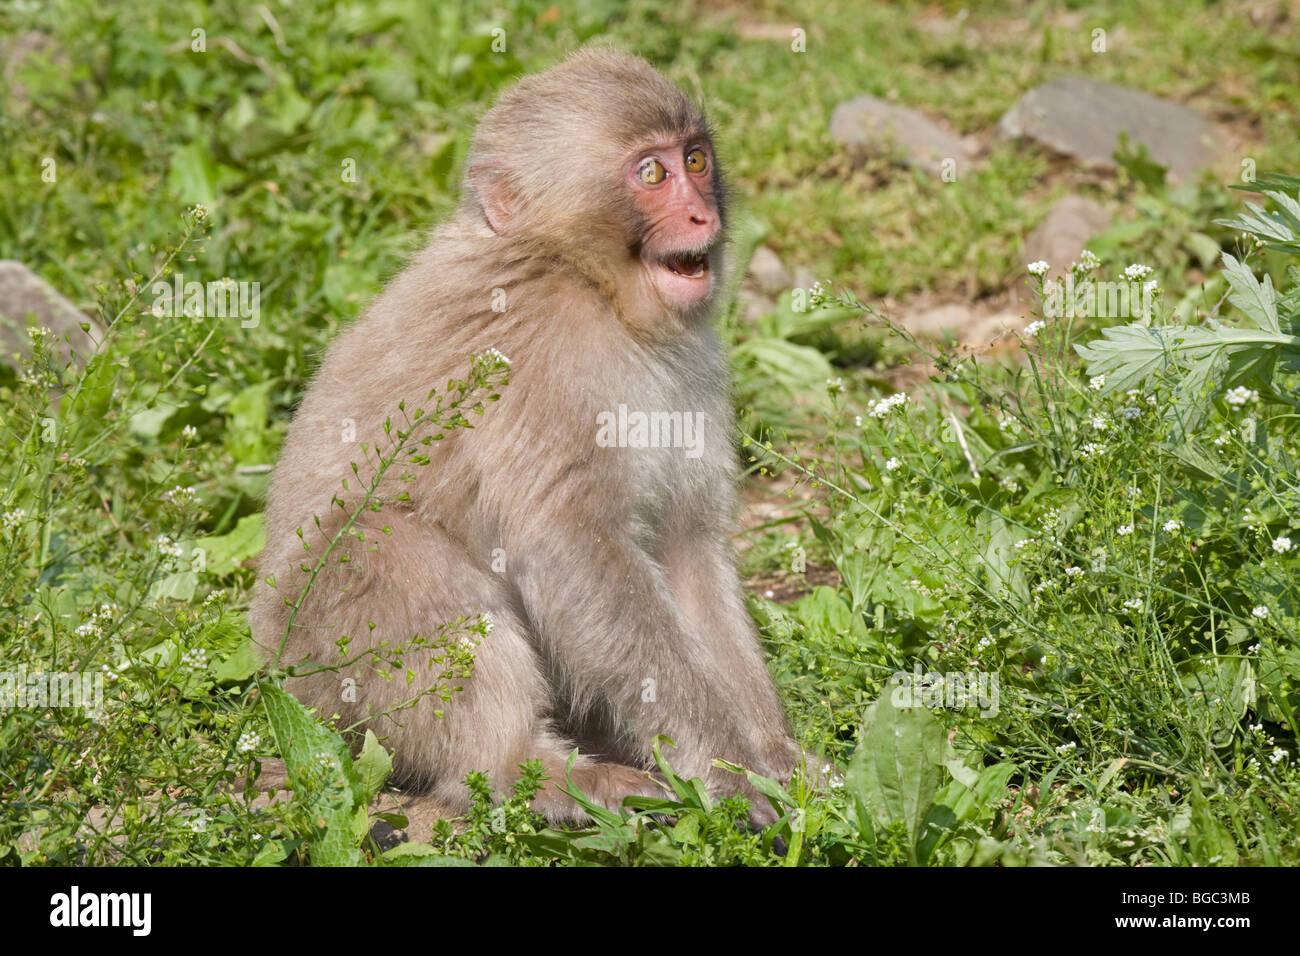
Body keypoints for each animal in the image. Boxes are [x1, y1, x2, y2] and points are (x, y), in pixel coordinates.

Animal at [249, 48, 816, 827]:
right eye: (652, 174)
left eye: (697, 159)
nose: (704, 212)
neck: (586, 280)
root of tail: (275, 674)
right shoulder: (549, 365)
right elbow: (572, 551)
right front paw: (730, 771)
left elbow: (687, 544)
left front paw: (773, 756)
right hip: (328, 674)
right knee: (387, 542)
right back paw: (523, 770)